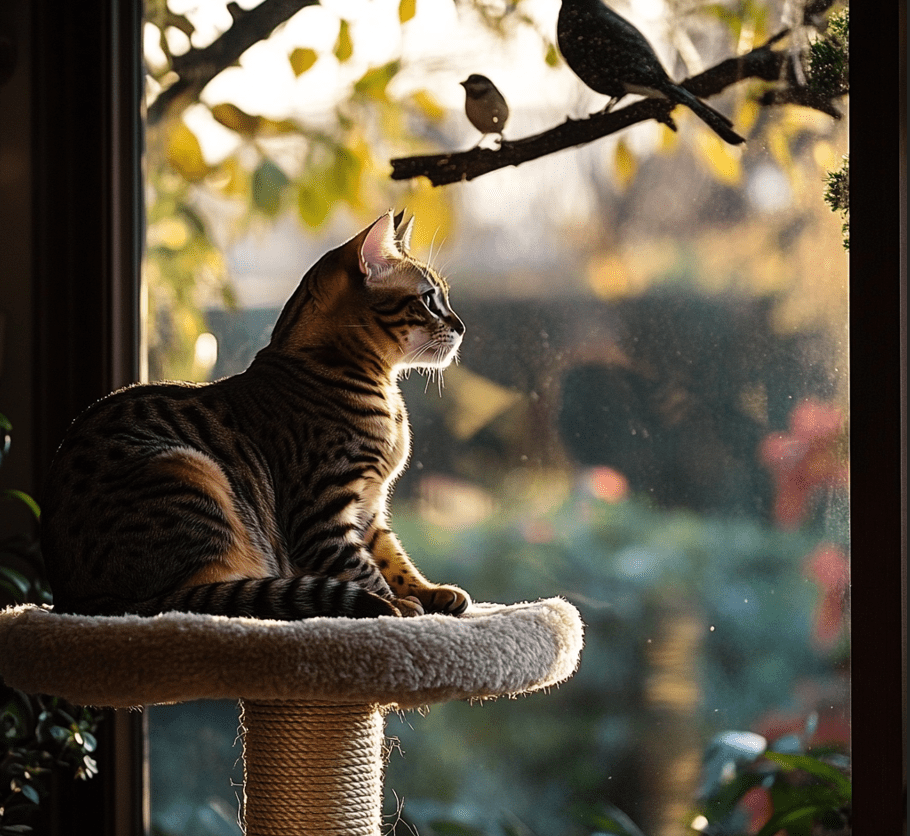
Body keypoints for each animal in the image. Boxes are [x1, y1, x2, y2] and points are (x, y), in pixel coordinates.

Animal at [40, 212, 474, 620]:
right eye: (429, 300)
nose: (462, 327)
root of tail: (79, 599)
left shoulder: (369, 505)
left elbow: (392, 556)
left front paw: (428, 592)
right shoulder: (322, 514)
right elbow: (363, 568)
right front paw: (397, 605)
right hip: (188, 470)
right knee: (208, 597)